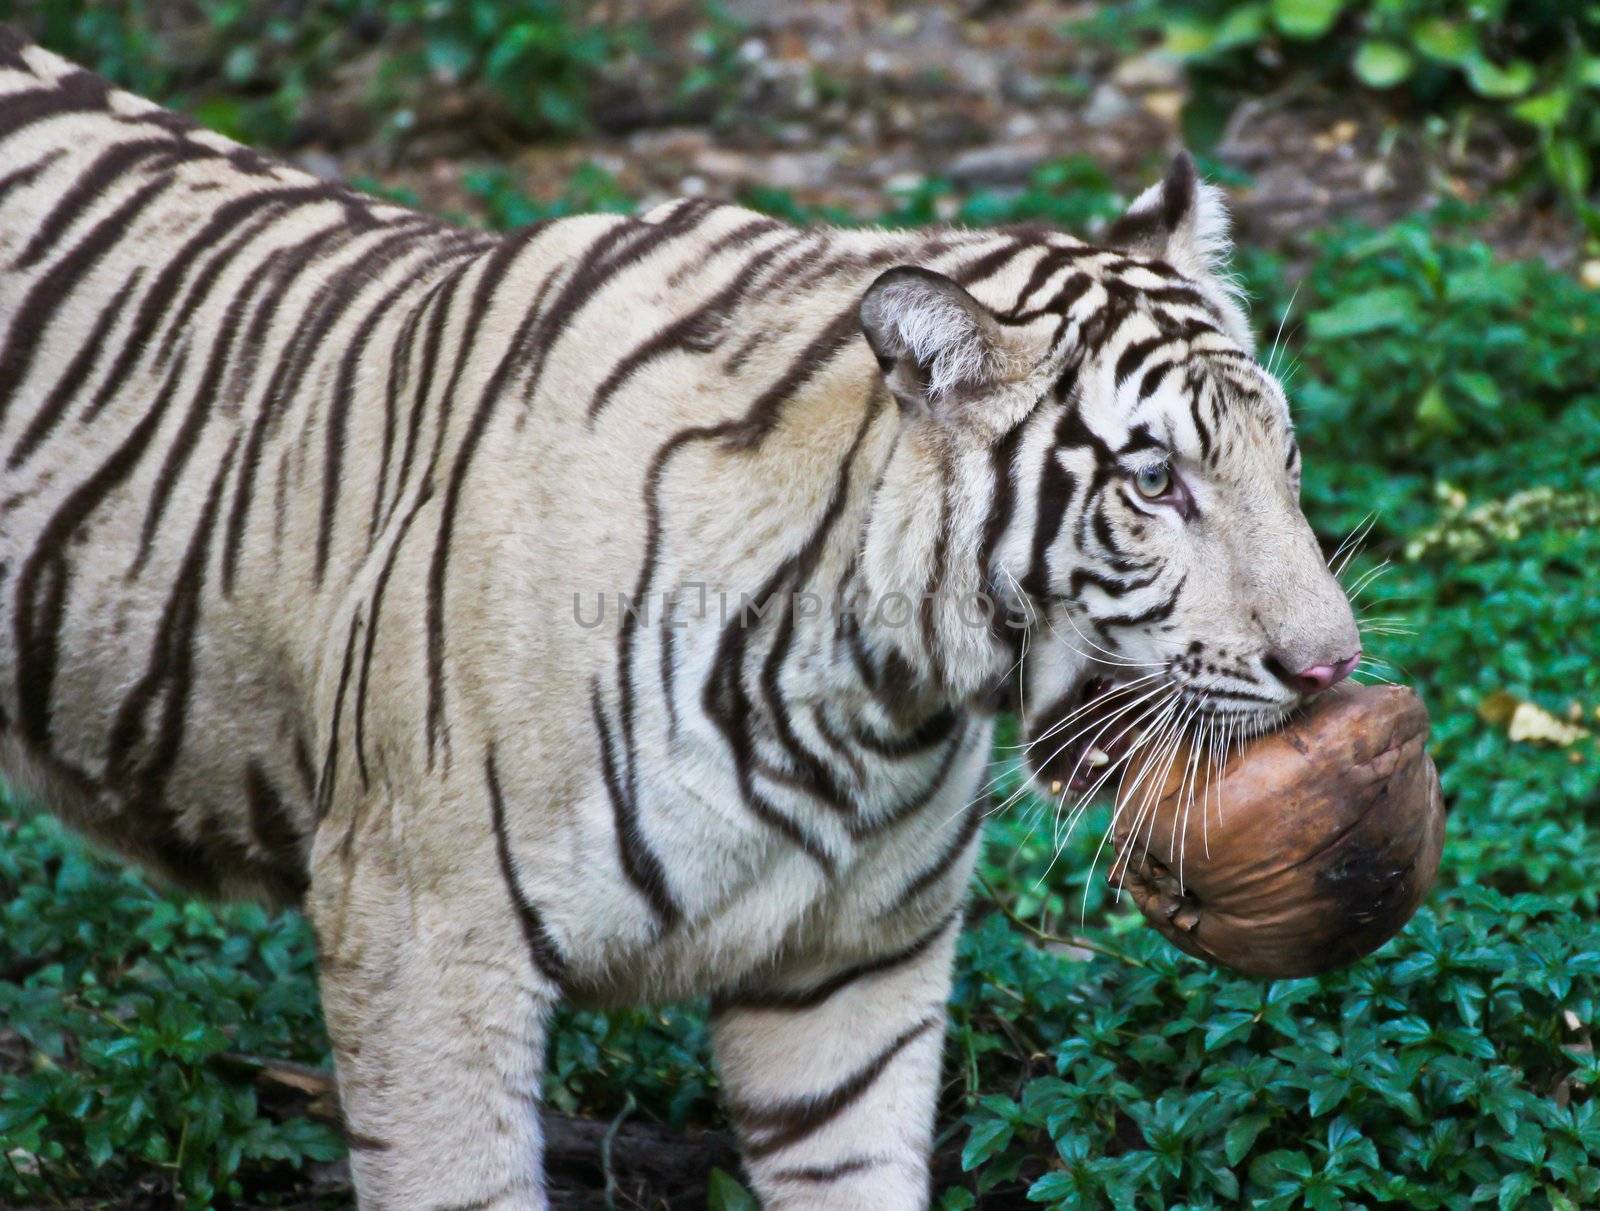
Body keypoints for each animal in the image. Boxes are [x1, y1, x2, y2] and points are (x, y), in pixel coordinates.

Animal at [0, 30, 1363, 1209]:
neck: (869, 692)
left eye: (1288, 459)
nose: (1329, 664)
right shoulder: (422, 934)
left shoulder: (851, 972)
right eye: (1155, 482)